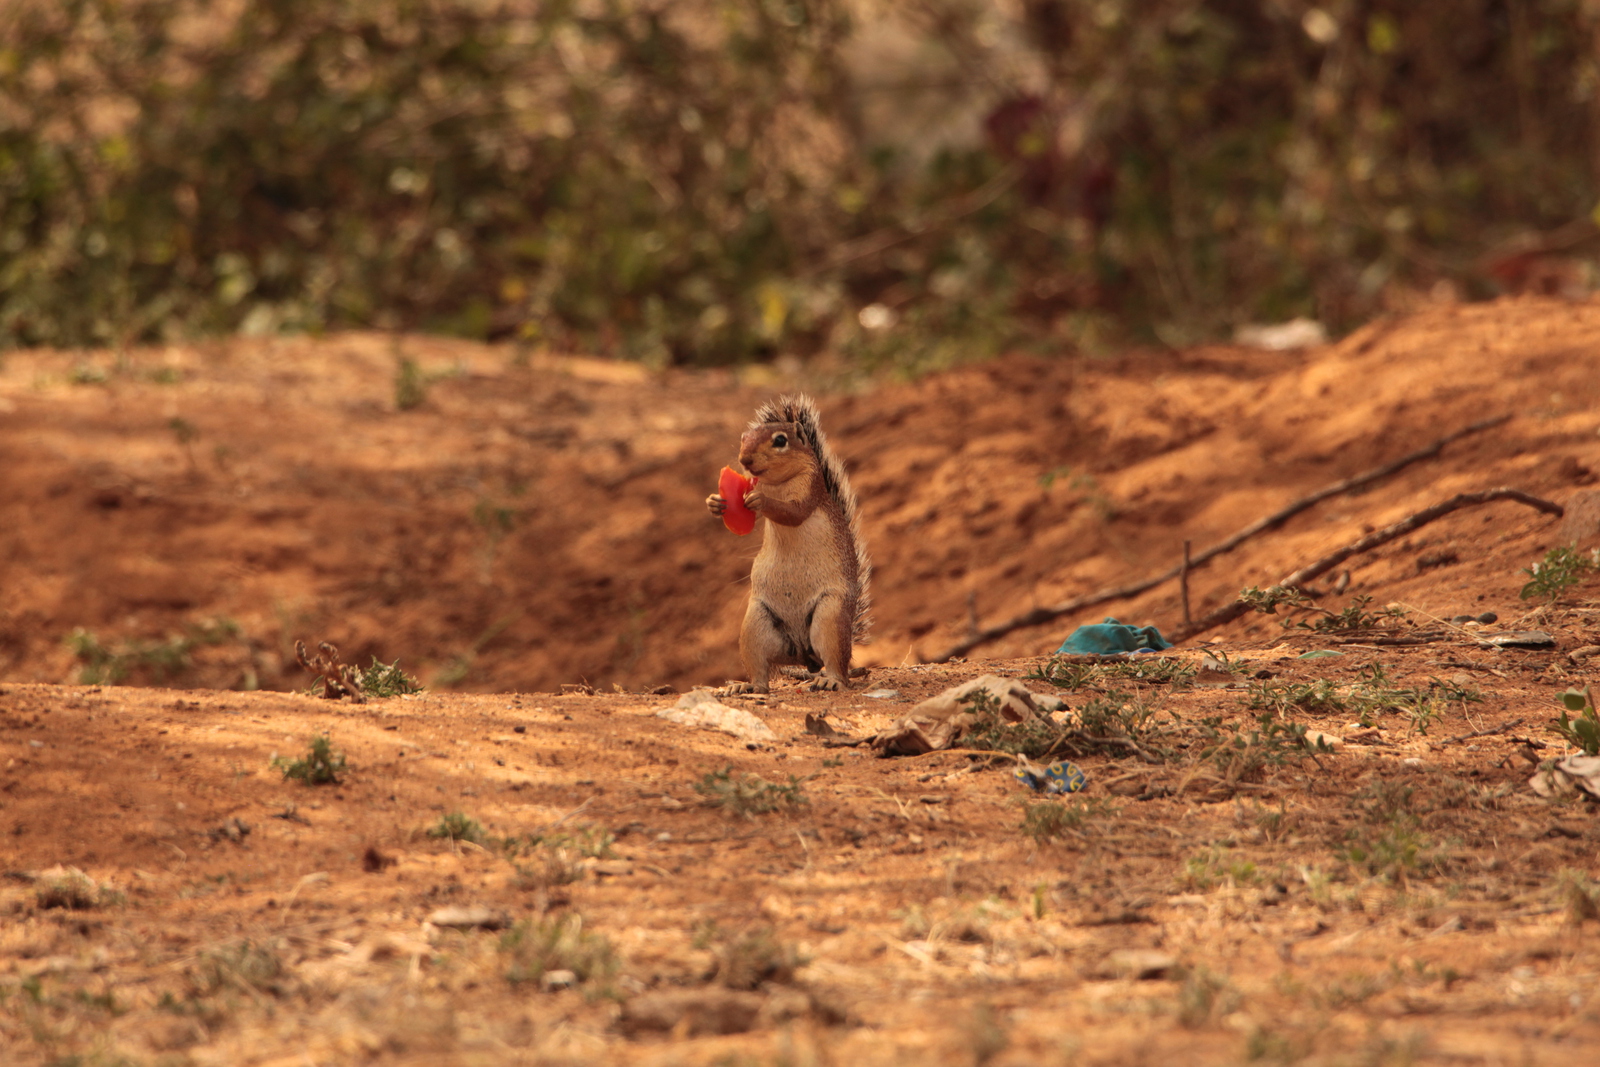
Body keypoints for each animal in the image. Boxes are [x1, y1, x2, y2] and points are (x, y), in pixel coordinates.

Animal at [704, 391, 870, 694]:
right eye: (744, 438)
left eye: (780, 441)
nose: (744, 459)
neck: (776, 483)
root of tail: (805, 655)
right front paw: (715, 502)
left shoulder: (809, 489)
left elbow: (792, 512)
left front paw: (762, 500)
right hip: (756, 627)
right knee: (761, 669)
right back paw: (749, 687)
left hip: (830, 617)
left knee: (837, 662)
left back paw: (831, 680)